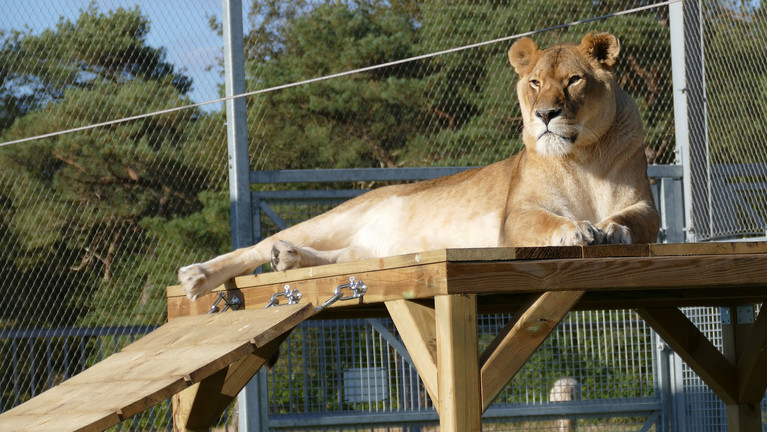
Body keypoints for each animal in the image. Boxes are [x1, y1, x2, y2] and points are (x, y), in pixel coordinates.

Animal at [179, 31, 660, 301]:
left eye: (574, 80)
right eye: (535, 82)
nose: (545, 114)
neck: (581, 157)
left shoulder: (645, 204)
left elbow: (631, 220)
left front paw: (611, 229)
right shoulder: (515, 216)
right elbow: (547, 220)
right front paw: (577, 229)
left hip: (374, 252)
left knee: (344, 257)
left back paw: (289, 258)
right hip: (340, 215)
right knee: (256, 248)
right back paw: (199, 274)